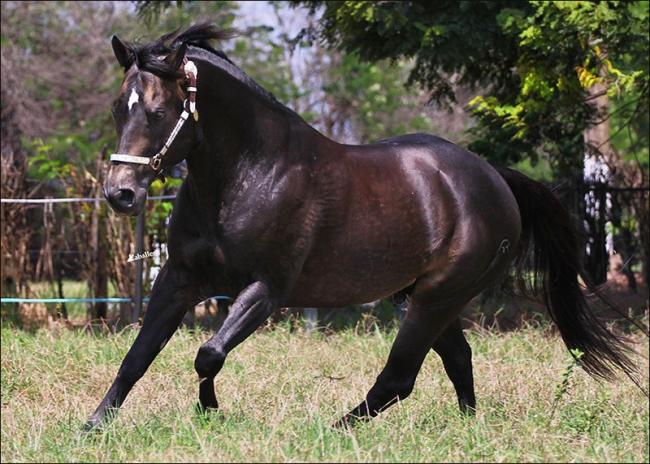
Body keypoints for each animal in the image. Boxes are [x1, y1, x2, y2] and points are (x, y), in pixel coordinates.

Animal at [87, 23, 637, 430]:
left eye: (159, 111)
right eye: (117, 108)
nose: (121, 193)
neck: (250, 173)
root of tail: (494, 179)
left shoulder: (266, 289)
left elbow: (208, 354)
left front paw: (210, 410)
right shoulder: (178, 278)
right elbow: (138, 354)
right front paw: (94, 426)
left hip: (438, 296)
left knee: (400, 377)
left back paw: (332, 430)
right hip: (423, 296)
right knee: (457, 359)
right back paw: (468, 427)